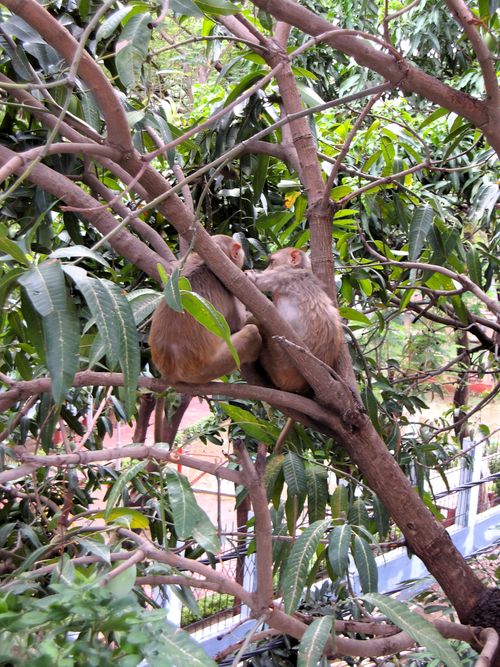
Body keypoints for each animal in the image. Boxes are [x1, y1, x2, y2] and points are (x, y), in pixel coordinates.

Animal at [149, 235, 262, 384]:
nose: (241, 253)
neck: (204, 263)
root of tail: (172, 372)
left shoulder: (186, 261)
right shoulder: (227, 286)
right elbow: (239, 322)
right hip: (207, 368)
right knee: (251, 331)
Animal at [246, 247, 342, 393]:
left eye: (272, 262)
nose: (265, 270)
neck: (301, 269)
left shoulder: (283, 275)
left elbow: (254, 280)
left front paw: (250, 275)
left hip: (278, 363)